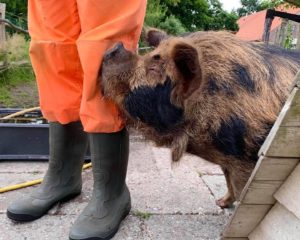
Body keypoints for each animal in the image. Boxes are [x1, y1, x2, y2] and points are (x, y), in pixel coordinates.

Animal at [99, 29, 300, 207]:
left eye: (153, 69)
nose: (116, 46)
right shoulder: (228, 160)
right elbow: (227, 180)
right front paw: (220, 203)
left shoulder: (247, 162)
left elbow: (242, 195)